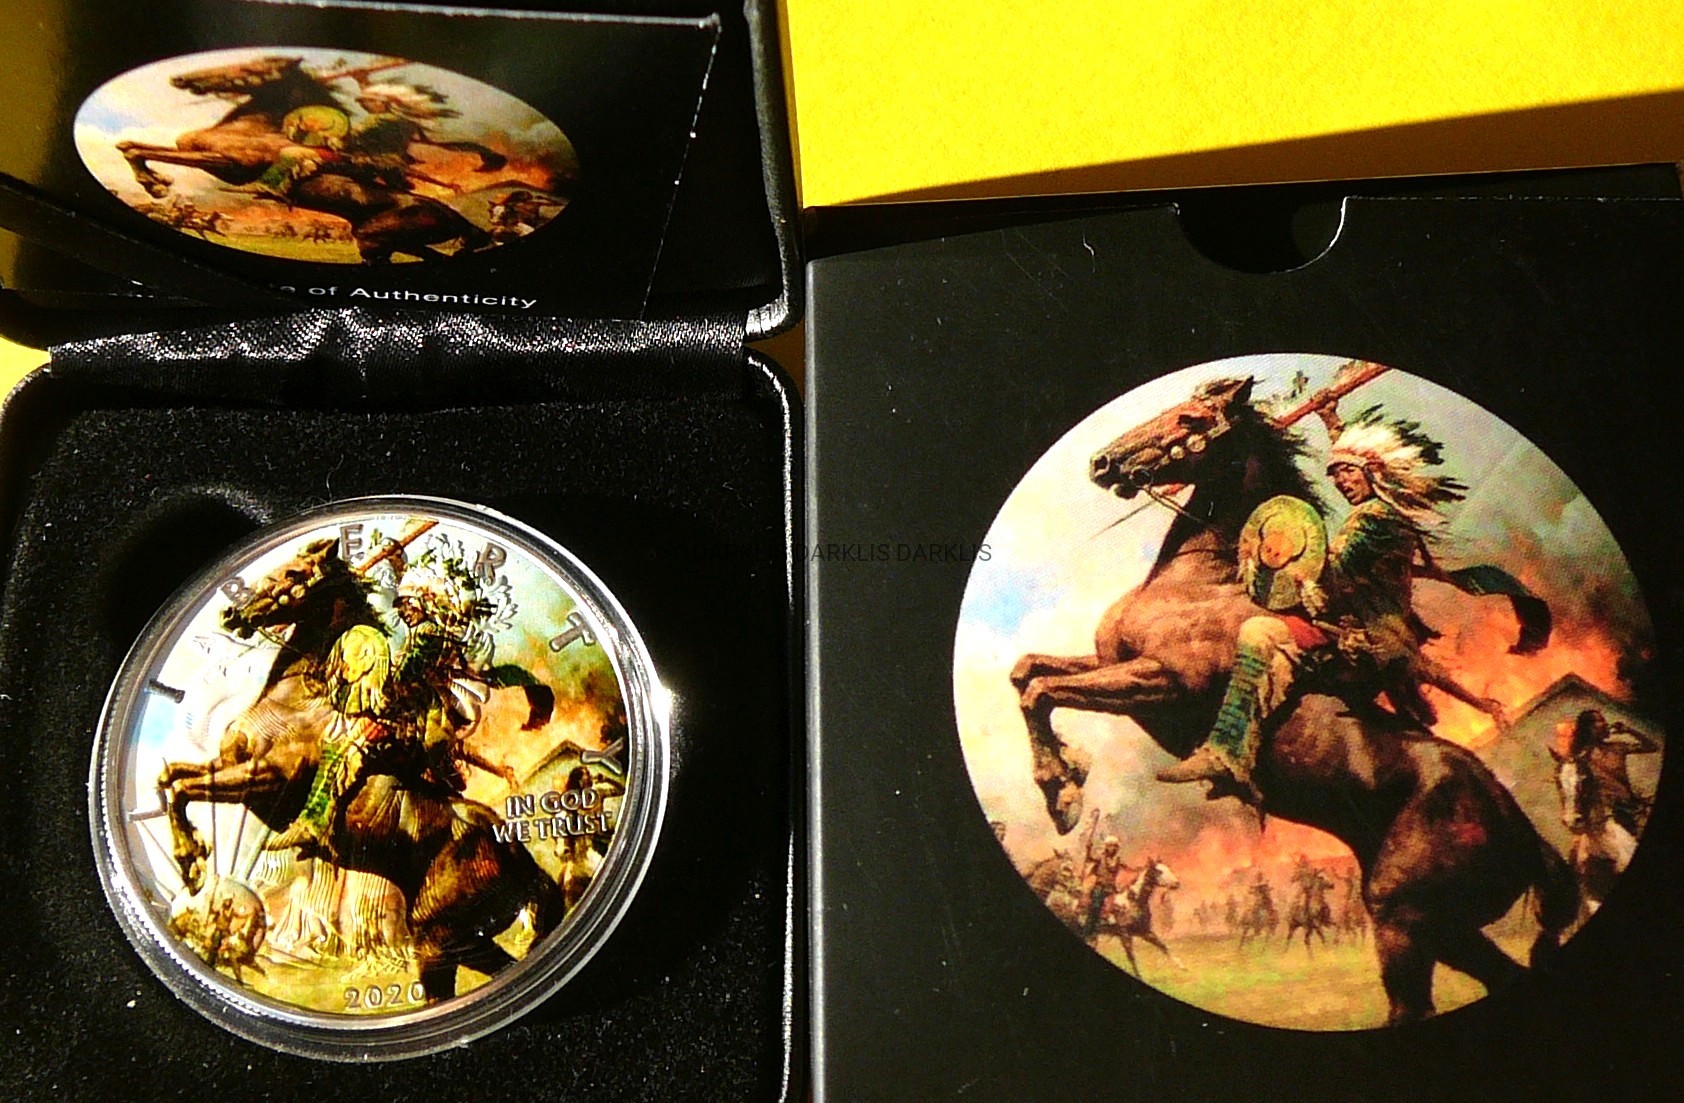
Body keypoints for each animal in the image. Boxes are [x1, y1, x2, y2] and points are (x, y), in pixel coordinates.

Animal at [116, 56, 500, 262]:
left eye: (259, 63)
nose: (181, 78)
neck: (251, 127)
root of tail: (452, 213)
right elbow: (130, 146)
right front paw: (155, 182)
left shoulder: (222, 162)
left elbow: (138, 150)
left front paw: (155, 185)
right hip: (398, 243)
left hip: (377, 242)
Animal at [158, 536, 568, 999]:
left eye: (294, 574)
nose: (232, 614)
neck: (300, 702)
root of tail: (516, 855)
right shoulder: (228, 764)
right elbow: (171, 778)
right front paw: (191, 861)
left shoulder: (261, 780)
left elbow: (183, 788)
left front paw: (192, 860)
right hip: (466, 943)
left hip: (439, 943)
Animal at [1009, 375, 1578, 1024]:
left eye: (1188, 419)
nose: (1103, 462)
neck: (1198, 584)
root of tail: (1524, 831)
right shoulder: (1110, 665)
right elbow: (1027, 674)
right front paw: (1065, 781)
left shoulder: (1158, 683)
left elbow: (1042, 691)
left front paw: (1063, 794)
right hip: (1450, 931)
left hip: (1403, 919)